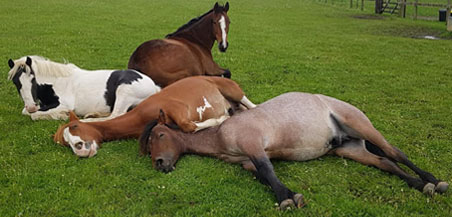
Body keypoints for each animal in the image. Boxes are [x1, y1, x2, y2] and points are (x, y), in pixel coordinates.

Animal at [6, 55, 161, 120]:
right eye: (16, 82)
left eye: (33, 78)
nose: (31, 106)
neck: (57, 82)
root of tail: (154, 86)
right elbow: (26, 112)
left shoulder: (63, 104)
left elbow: (33, 115)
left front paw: (62, 115)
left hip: (124, 92)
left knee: (116, 116)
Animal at [53, 76, 256, 158]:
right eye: (67, 143)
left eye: (75, 127)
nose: (80, 149)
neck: (140, 116)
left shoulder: (179, 110)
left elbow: (189, 126)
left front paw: (221, 119)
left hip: (233, 90)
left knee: (250, 104)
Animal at [139, 91, 450, 210]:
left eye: (160, 134)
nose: (160, 163)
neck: (220, 135)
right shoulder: (248, 161)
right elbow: (262, 174)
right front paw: (289, 195)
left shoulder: (254, 145)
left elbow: (267, 171)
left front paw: (287, 199)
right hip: (349, 150)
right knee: (385, 163)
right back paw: (418, 185)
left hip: (361, 126)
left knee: (395, 153)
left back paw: (433, 181)